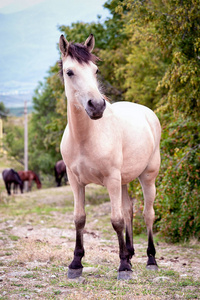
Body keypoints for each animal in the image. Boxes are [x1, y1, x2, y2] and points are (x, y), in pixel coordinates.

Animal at [59, 34, 161, 280]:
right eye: (69, 72)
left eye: (95, 70)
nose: (96, 106)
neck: (86, 138)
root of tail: (148, 113)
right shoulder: (75, 181)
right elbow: (79, 218)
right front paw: (75, 264)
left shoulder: (111, 180)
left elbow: (116, 221)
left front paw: (123, 266)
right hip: (124, 181)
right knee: (129, 211)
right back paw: (131, 254)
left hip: (147, 178)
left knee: (147, 214)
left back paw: (151, 259)